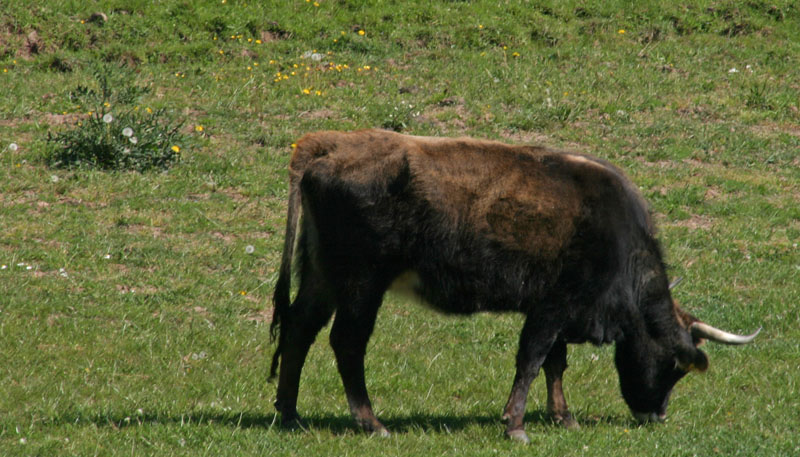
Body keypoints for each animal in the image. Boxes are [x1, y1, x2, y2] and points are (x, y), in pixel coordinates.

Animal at [268, 128, 756, 442]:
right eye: (674, 366)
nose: (656, 415)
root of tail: (323, 146)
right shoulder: (552, 307)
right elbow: (532, 359)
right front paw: (516, 425)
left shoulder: (554, 312)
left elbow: (555, 365)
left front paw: (563, 417)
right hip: (361, 284)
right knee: (347, 343)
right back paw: (371, 423)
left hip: (321, 276)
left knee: (298, 329)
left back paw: (289, 414)